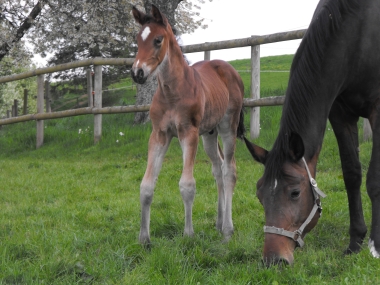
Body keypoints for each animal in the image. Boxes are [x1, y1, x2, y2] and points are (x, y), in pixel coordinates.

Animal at [131, 4, 246, 244]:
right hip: (209, 134)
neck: (172, 92)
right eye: (137, 39)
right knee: (218, 168)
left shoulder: (188, 133)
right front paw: (144, 239)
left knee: (229, 170)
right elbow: (146, 185)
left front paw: (188, 234)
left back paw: (227, 229)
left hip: (227, 126)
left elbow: (187, 185)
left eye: (158, 40)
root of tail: (228, 68)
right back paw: (219, 223)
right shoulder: (159, 134)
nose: (137, 73)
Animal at [243, 0, 380, 266]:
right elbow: (352, 175)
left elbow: (374, 180)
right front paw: (355, 242)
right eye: (259, 194)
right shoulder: (340, 113)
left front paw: (375, 245)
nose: (274, 260)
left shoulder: (378, 110)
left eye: (295, 193)